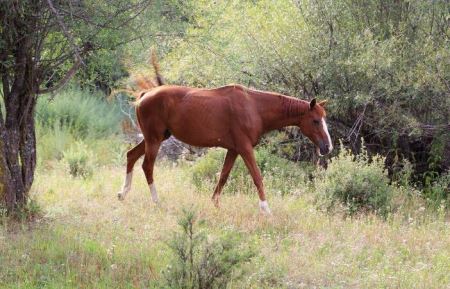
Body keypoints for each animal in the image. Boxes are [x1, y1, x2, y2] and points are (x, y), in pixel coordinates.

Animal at [118, 62, 332, 214]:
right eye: (315, 121)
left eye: (324, 118)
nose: (327, 147)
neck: (254, 106)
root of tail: (145, 94)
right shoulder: (245, 148)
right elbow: (257, 177)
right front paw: (266, 210)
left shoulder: (233, 149)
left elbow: (223, 177)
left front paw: (214, 203)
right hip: (154, 140)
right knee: (147, 166)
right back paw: (156, 201)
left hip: (154, 138)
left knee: (131, 156)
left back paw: (123, 193)